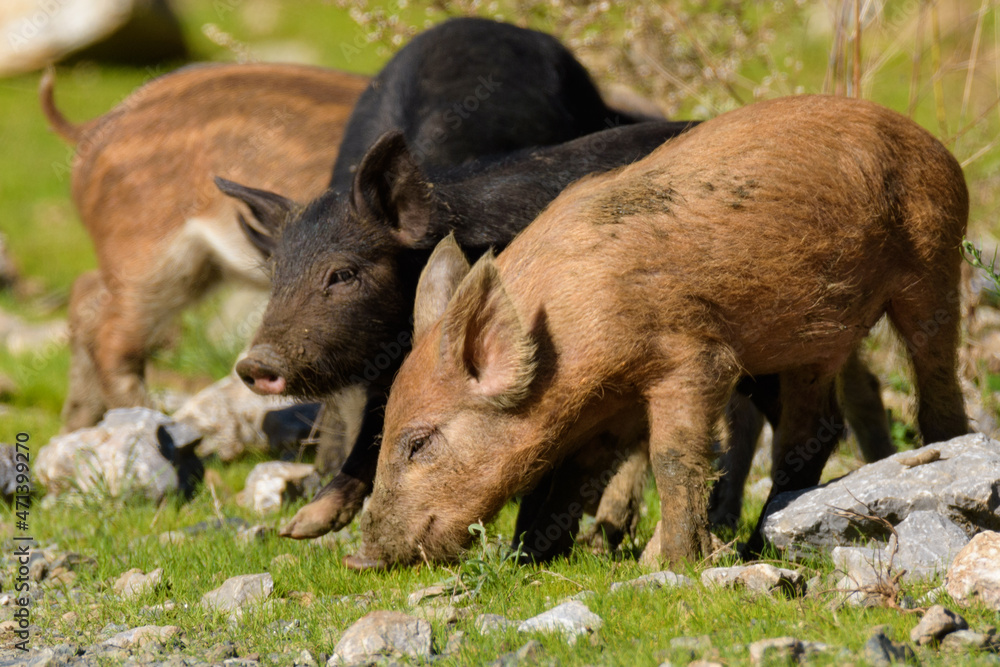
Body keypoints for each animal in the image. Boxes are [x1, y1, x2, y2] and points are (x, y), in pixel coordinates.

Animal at [42, 63, 370, 432]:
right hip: (149, 254)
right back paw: (155, 425)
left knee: (85, 294)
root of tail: (93, 127)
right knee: (111, 337)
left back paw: (79, 424)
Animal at [351, 94, 970, 568]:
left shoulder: (691, 355)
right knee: (813, 429)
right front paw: (530, 558)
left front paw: (666, 565)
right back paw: (757, 541)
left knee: (935, 376)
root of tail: (926, 138)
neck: (569, 347)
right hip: (812, 342)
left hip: (934, 258)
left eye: (418, 443)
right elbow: (573, 475)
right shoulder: (607, 407)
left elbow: (672, 456)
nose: (360, 559)